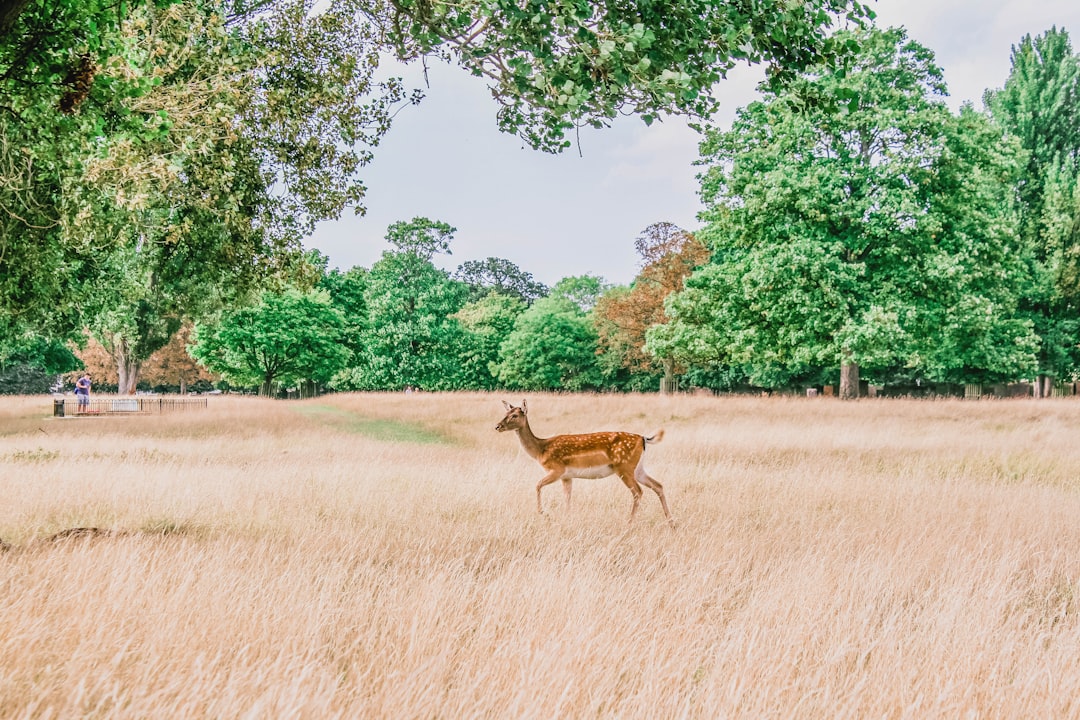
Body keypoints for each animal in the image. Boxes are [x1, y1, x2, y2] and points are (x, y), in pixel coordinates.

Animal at [496, 399, 673, 528]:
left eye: (515, 415)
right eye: (506, 412)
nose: (497, 426)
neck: (541, 450)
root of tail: (643, 439)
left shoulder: (557, 469)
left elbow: (538, 485)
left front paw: (543, 513)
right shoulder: (567, 476)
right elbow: (567, 498)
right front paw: (567, 518)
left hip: (624, 467)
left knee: (638, 491)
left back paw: (629, 523)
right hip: (638, 468)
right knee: (658, 485)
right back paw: (671, 522)